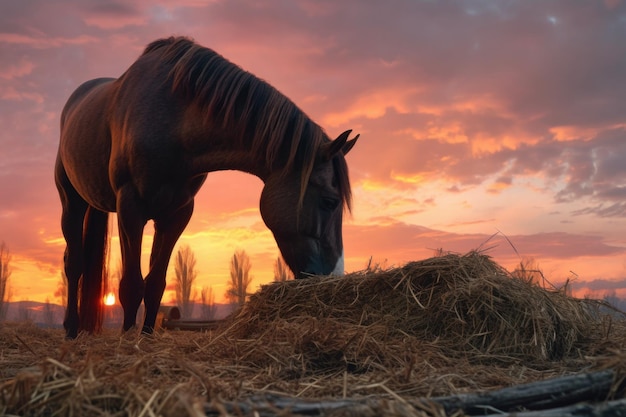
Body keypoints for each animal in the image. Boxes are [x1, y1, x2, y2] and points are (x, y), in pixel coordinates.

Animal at [56, 36, 358, 338]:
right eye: (329, 202)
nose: (334, 275)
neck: (173, 120)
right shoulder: (130, 206)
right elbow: (132, 284)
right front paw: (128, 339)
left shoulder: (176, 214)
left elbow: (155, 284)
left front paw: (146, 336)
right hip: (72, 203)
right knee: (74, 264)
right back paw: (71, 329)